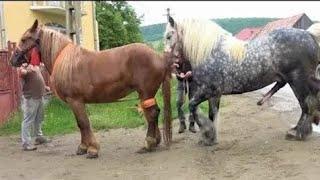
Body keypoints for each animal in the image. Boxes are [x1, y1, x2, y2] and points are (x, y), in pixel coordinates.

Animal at [10, 19, 172, 158]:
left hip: (146, 92)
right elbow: (80, 124)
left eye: (24, 39)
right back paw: (155, 141)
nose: (13, 60)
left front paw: (92, 149)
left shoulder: (75, 100)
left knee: (151, 114)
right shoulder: (76, 102)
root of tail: (159, 57)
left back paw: (148, 143)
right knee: (152, 113)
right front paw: (83, 147)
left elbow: (83, 123)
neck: (64, 59)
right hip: (146, 94)